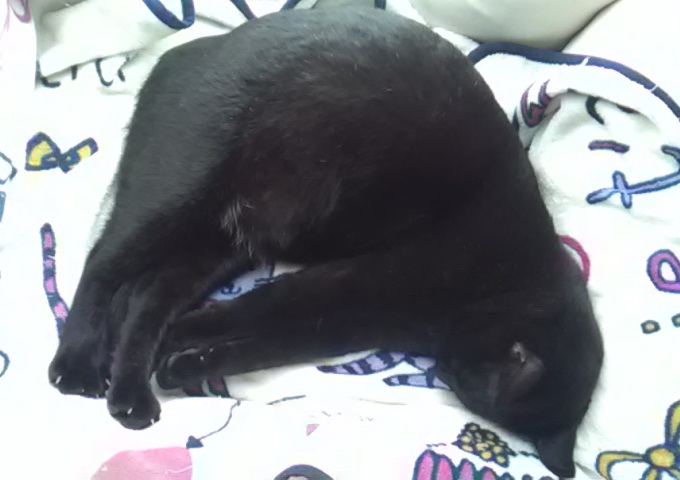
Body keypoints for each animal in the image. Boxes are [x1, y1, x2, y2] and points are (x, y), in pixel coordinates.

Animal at [47, 7, 603, 478]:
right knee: (102, 264)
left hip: (220, 240)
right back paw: (78, 365)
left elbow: (270, 345)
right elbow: (261, 307)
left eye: (474, 394)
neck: (515, 276)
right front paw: (191, 334)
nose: (448, 371)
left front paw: (189, 361)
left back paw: (133, 391)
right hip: (178, 193)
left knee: (146, 294)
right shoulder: (364, 277)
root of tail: (186, 51)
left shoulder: (363, 318)